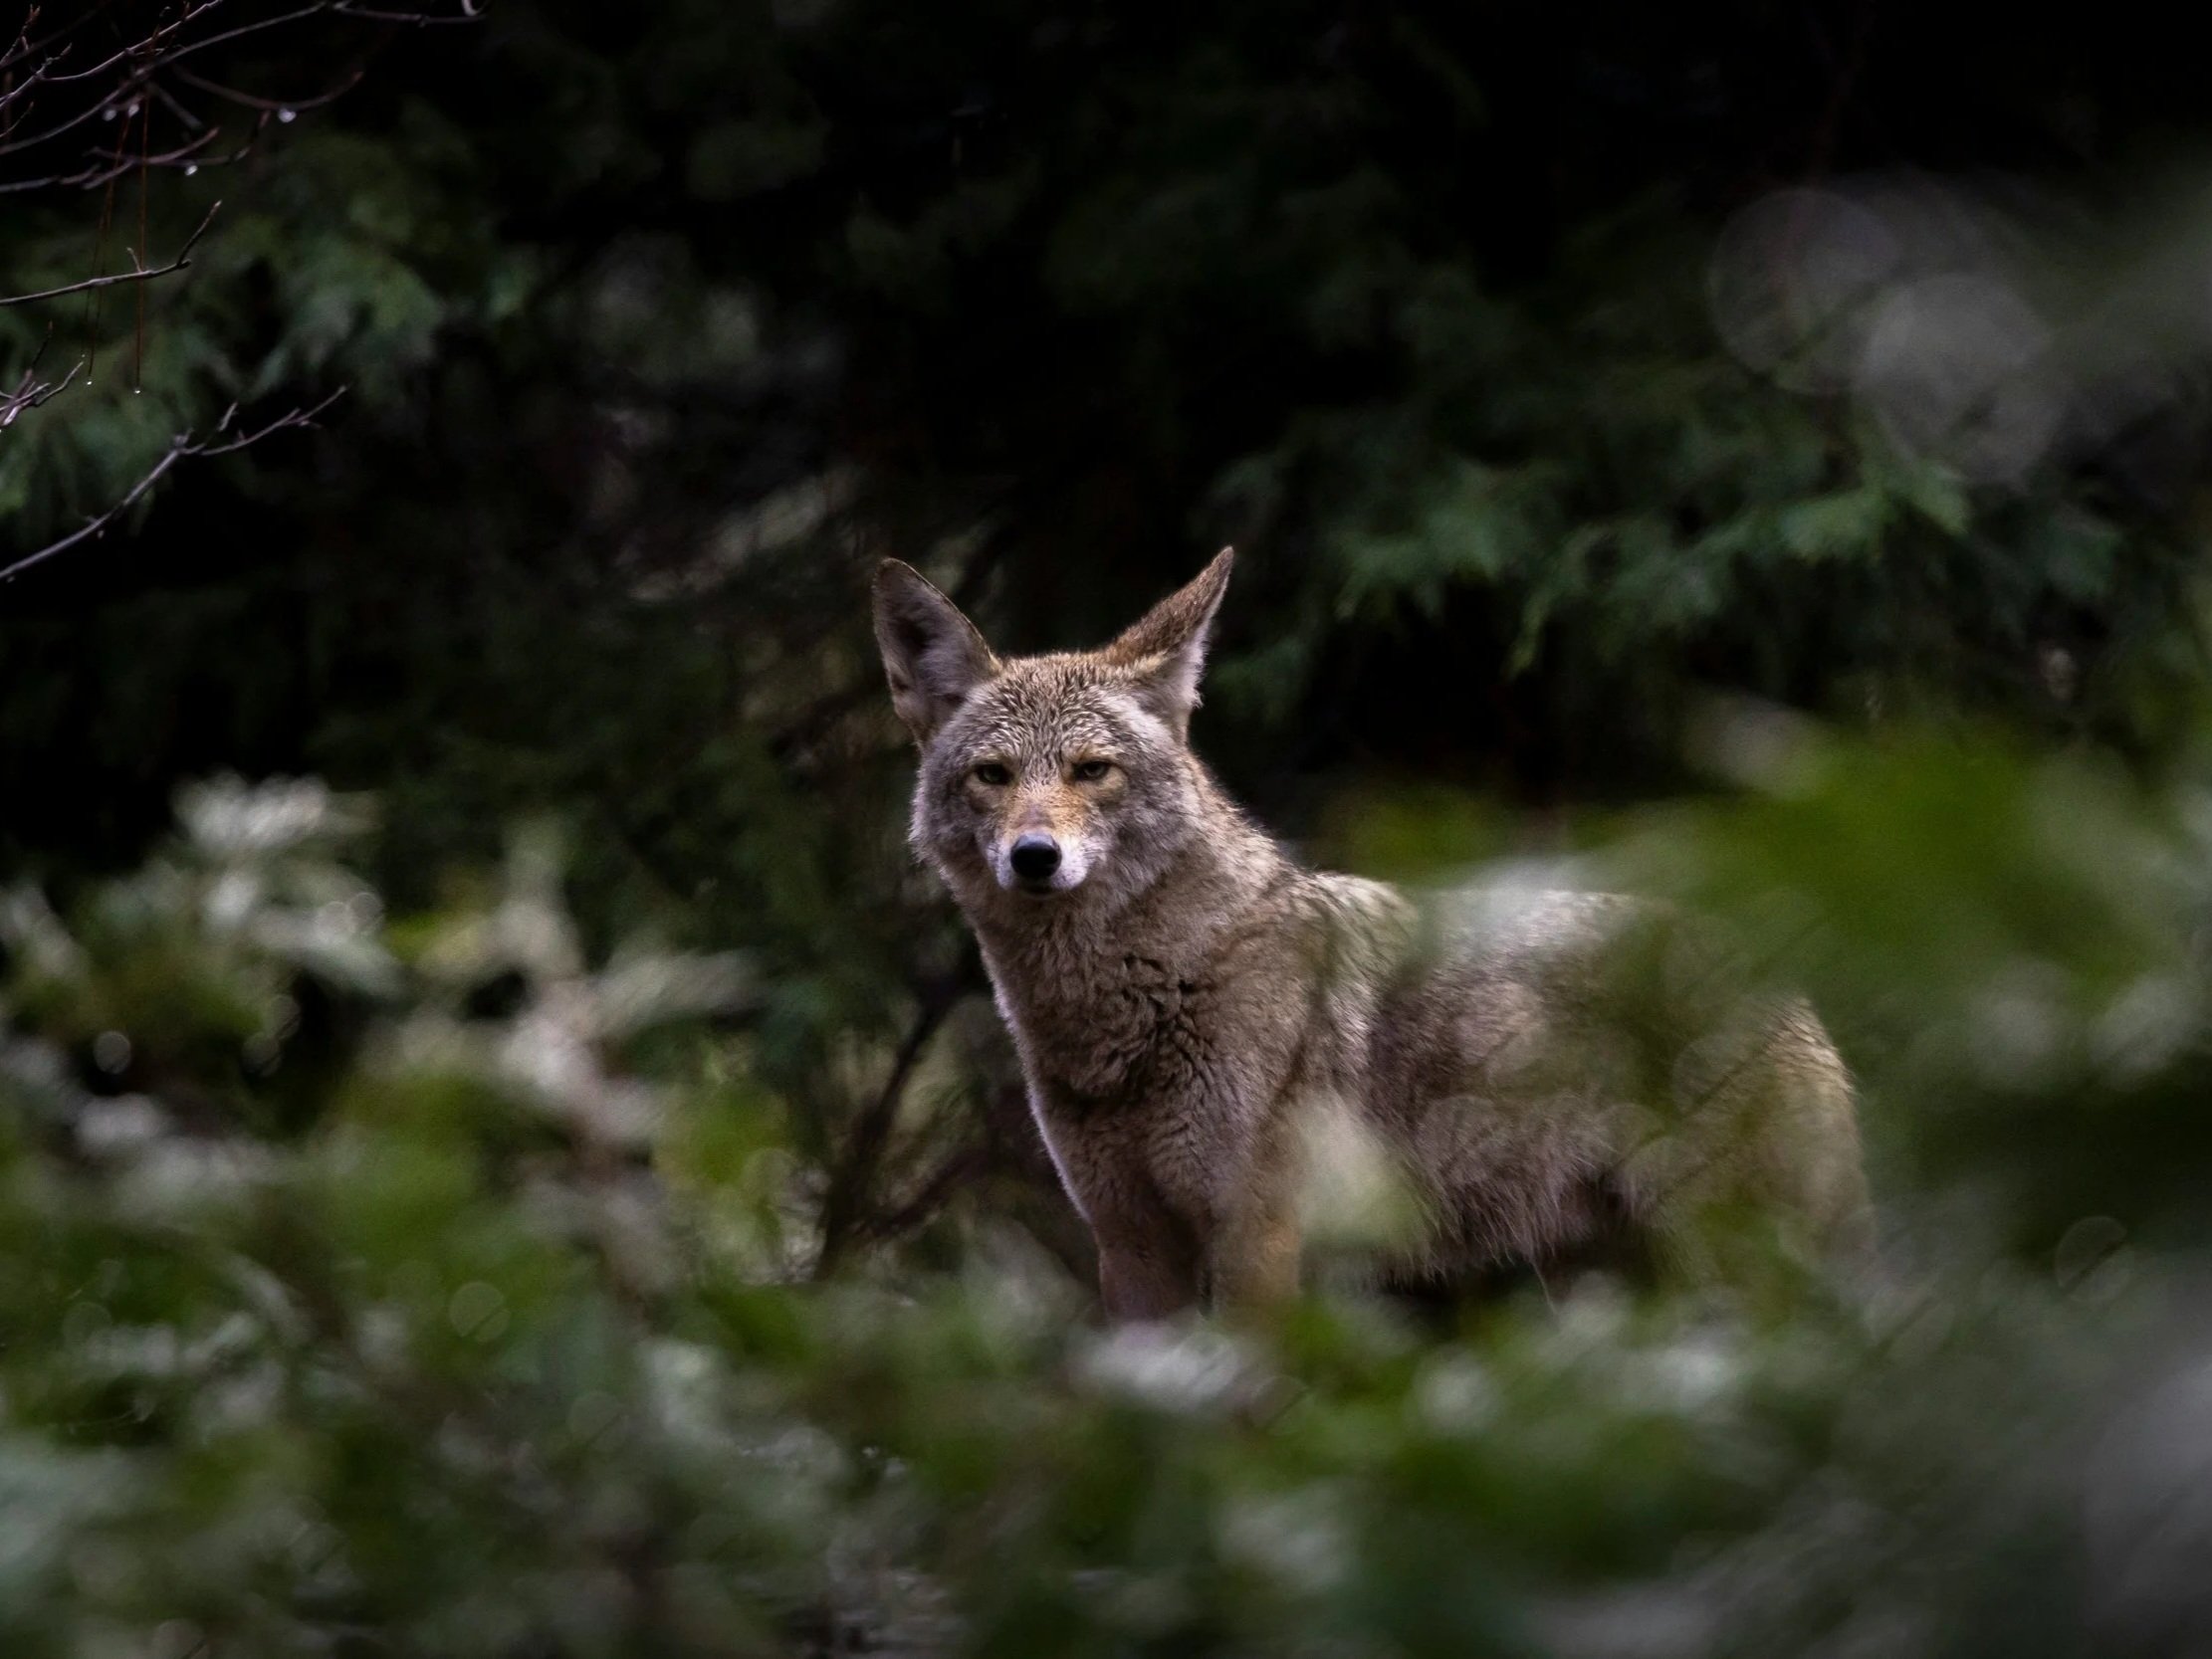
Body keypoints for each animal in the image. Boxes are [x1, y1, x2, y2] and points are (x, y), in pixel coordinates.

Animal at [873, 550, 1869, 1318]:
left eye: (1092, 770)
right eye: (994, 776)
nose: (1035, 857)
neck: (1141, 1002)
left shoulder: (1260, 1244)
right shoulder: (1132, 1248)